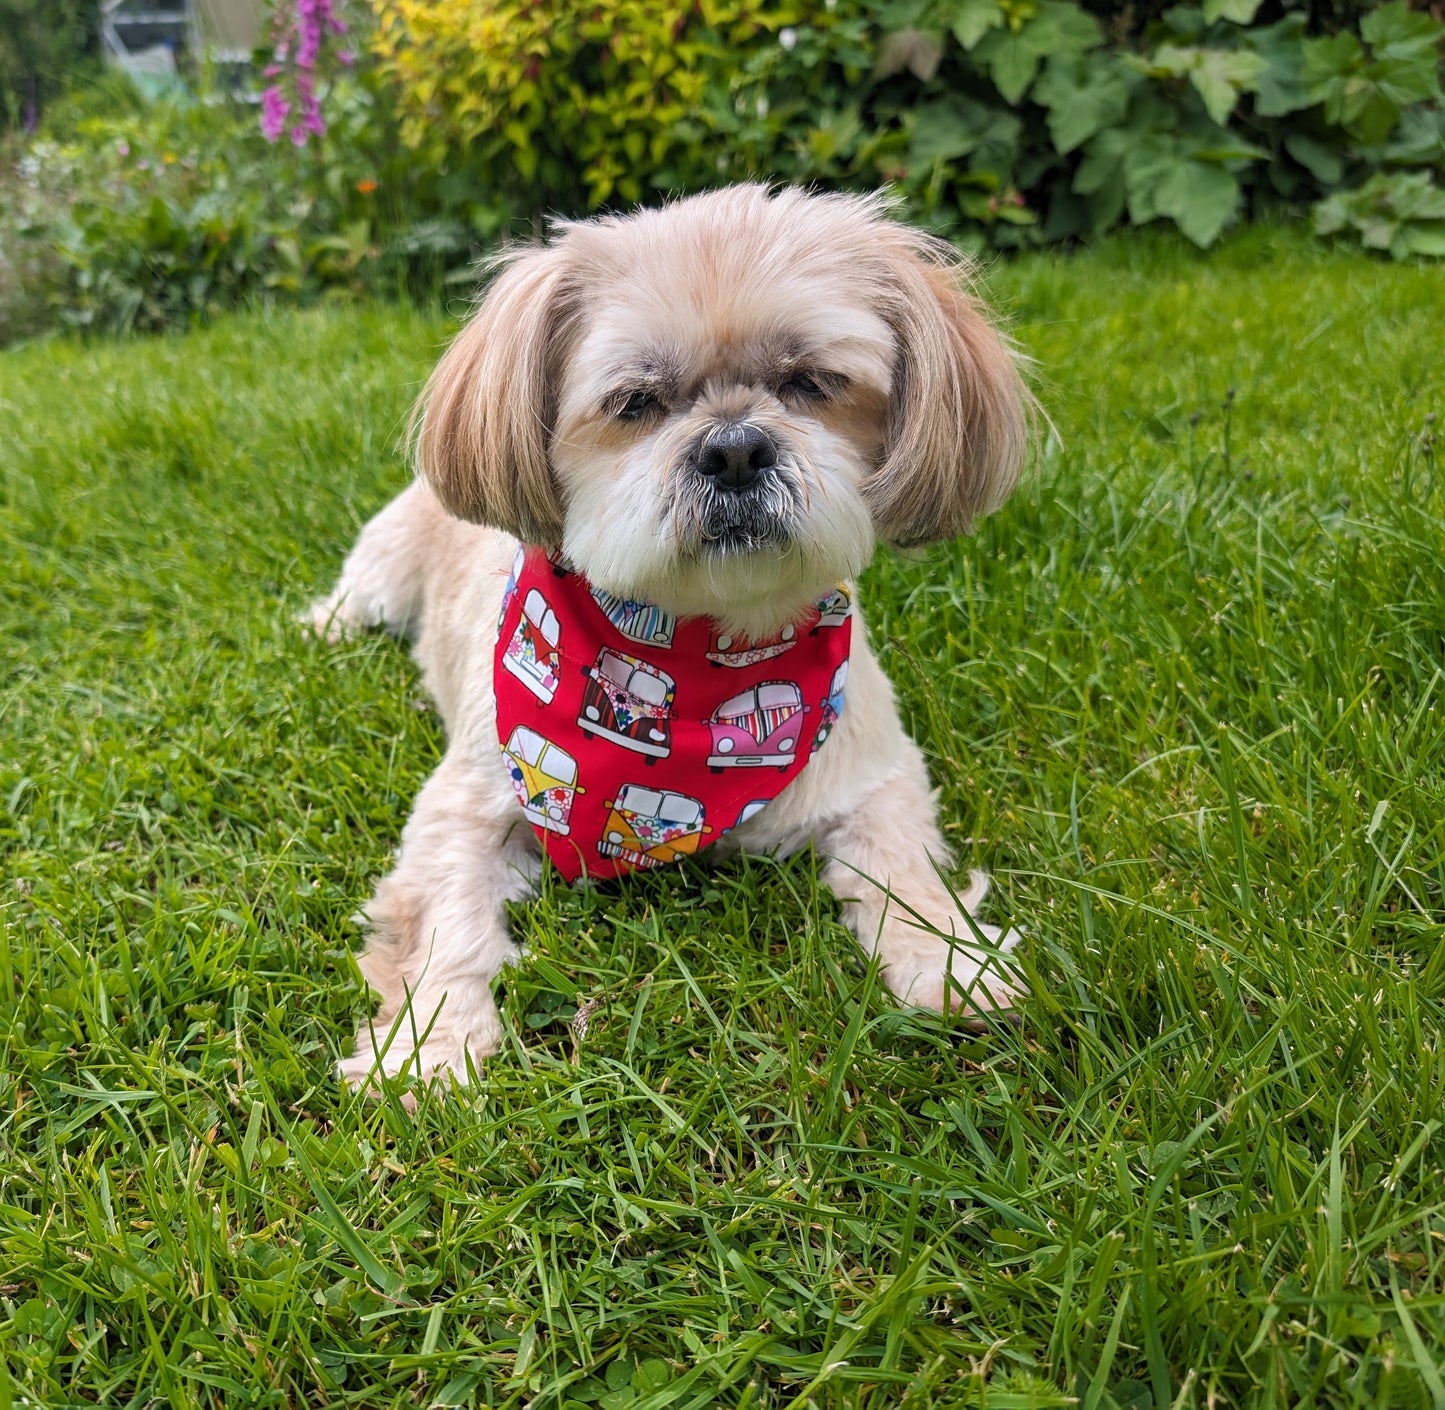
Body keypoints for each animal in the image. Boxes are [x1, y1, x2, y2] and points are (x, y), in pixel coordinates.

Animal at [307, 184, 1028, 1092]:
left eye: (810, 383)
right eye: (635, 402)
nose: (735, 448)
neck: (696, 650)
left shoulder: (876, 775)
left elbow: (906, 875)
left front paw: (949, 964)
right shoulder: (467, 804)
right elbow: (447, 926)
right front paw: (430, 1049)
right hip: (383, 564)